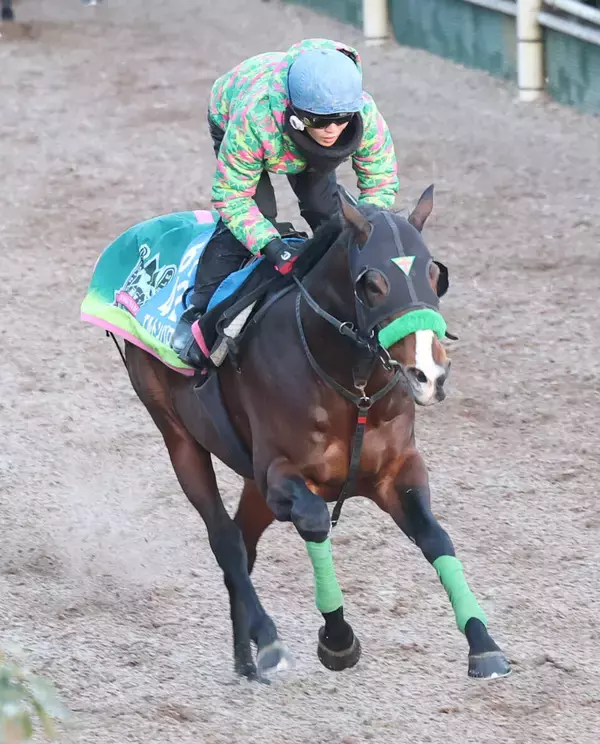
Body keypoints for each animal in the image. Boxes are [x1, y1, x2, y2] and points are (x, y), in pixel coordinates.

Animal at [102, 187, 510, 681]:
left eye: (435, 274)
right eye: (372, 284)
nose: (429, 374)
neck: (354, 390)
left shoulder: (396, 473)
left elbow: (436, 539)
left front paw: (483, 643)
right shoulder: (281, 476)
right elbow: (314, 522)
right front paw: (337, 638)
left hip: (251, 483)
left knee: (243, 542)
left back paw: (245, 659)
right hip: (179, 437)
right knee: (226, 541)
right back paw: (267, 641)